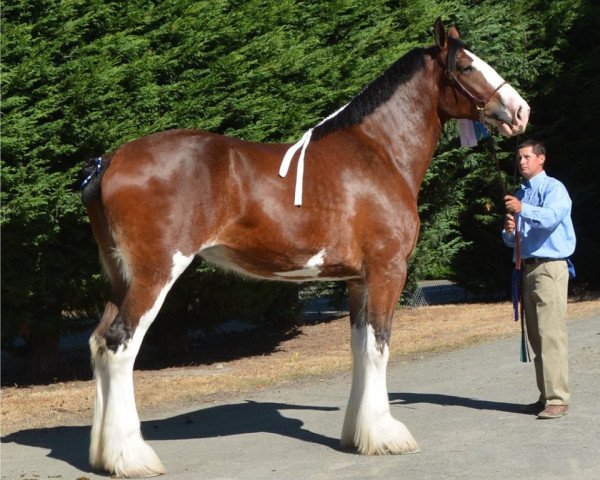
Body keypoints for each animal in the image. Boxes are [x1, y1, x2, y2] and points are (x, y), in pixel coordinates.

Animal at [82, 17, 528, 476]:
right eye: (466, 65)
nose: (520, 111)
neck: (377, 153)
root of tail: (109, 162)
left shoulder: (358, 280)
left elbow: (359, 348)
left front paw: (359, 434)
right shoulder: (388, 270)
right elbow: (380, 346)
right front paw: (387, 436)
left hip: (121, 278)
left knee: (98, 343)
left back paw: (104, 455)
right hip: (155, 275)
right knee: (119, 345)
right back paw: (132, 457)